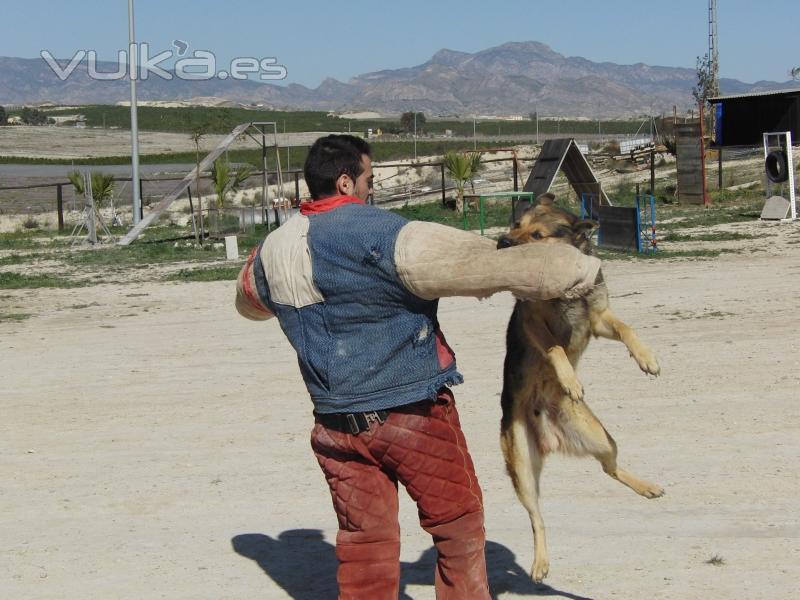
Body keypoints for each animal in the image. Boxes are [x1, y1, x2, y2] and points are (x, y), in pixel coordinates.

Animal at [496, 195, 664, 584]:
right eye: (516, 225)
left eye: (537, 235)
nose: (502, 242)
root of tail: (549, 437)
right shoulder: (532, 321)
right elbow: (555, 347)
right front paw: (569, 379)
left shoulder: (599, 319)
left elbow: (626, 327)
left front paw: (646, 357)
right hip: (522, 467)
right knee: (536, 518)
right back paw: (540, 562)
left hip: (601, 438)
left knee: (609, 469)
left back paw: (646, 486)